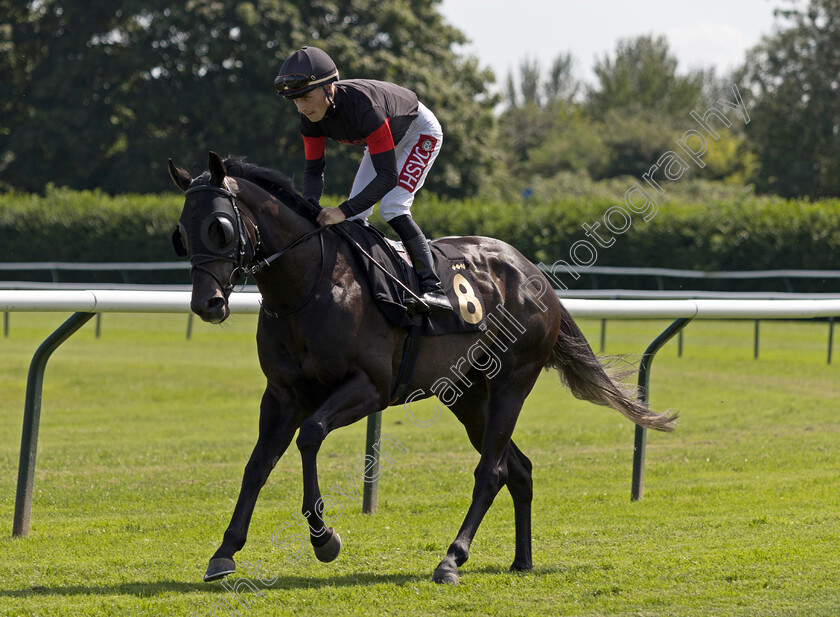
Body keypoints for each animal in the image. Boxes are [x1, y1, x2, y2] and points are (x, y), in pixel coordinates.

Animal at [169, 152, 676, 584]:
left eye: (218, 227)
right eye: (181, 234)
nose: (207, 304)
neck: (309, 285)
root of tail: (537, 277)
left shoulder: (370, 387)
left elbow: (310, 436)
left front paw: (324, 539)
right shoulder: (282, 393)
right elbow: (257, 464)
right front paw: (225, 552)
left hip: (511, 382)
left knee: (491, 471)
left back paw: (451, 559)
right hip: (468, 394)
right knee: (519, 468)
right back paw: (522, 560)